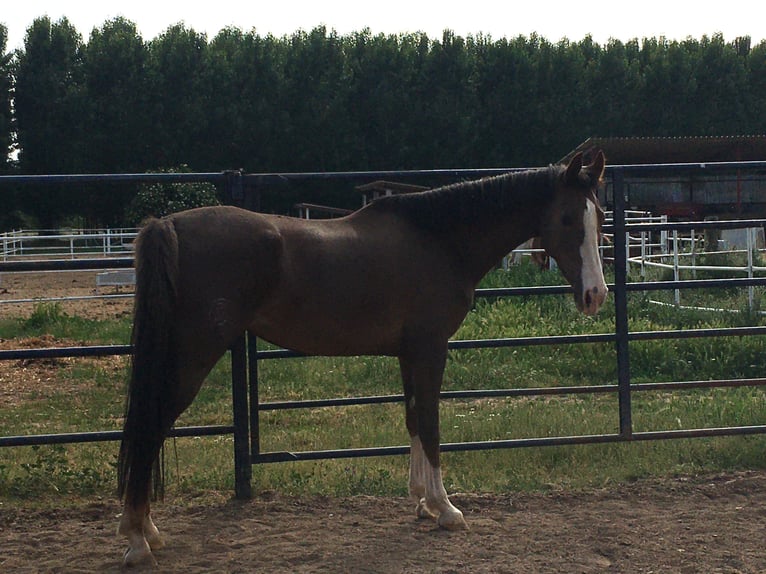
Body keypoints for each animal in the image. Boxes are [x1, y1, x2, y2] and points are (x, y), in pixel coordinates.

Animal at [117, 151, 608, 566]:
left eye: (600, 217)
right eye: (567, 217)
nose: (595, 295)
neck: (440, 239)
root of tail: (167, 226)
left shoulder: (410, 353)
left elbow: (413, 419)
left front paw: (422, 503)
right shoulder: (431, 348)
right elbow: (431, 423)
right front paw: (446, 509)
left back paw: (148, 531)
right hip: (192, 357)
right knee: (150, 426)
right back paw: (139, 540)